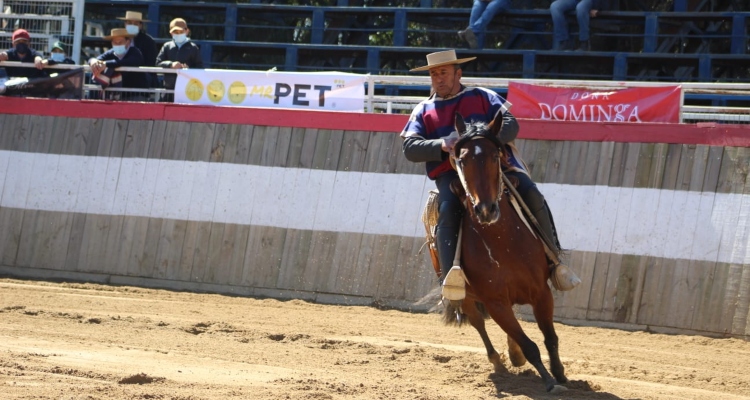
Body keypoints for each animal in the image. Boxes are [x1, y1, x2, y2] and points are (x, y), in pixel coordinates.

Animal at [444, 111, 568, 390]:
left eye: (494, 156)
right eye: (462, 160)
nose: (485, 209)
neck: (503, 241)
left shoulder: (541, 292)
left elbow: (550, 337)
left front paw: (559, 374)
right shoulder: (496, 302)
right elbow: (530, 345)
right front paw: (548, 381)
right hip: (467, 299)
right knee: (479, 323)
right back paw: (499, 361)